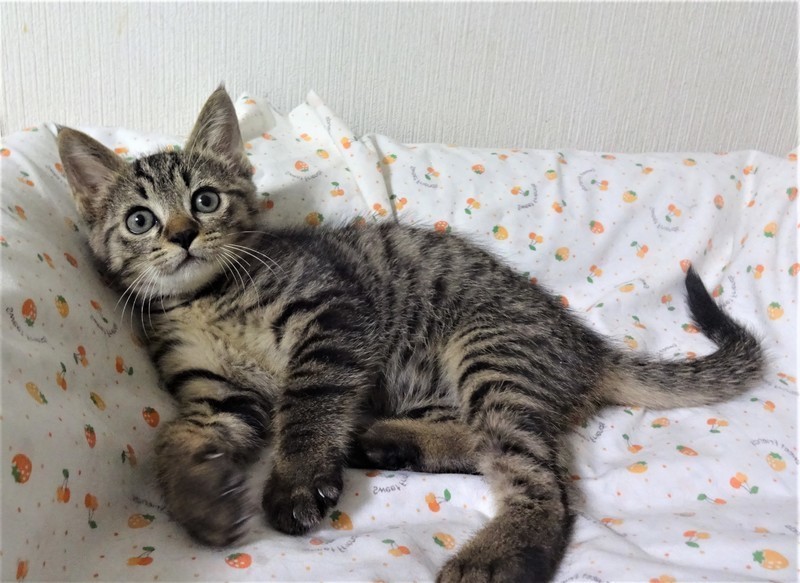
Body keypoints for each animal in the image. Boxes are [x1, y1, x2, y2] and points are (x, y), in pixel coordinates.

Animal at [56, 87, 765, 582]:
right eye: (140, 219)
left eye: (205, 200)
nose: (182, 235)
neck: (207, 298)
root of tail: (584, 345)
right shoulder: (219, 395)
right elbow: (174, 439)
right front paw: (199, 500)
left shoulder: (333, 315)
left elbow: (308, 403)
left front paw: (296, 478)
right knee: (483, 444)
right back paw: (383, 441)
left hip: (490, 347)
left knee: (543, 483)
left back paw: (498, 551)